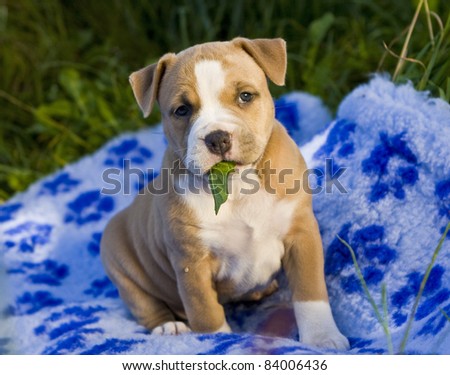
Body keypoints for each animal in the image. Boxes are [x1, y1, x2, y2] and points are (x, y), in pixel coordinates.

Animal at [100, 36, 350, 352]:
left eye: (245, 96)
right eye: (182, 110)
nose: (217, 138)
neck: (236, 184)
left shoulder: (302, 234)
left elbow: (310, 291)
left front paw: (321, 336)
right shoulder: (191, 262)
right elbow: (205, 310)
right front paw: (217, 341)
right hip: (119, 263)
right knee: (146, 305)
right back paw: (169, 327)